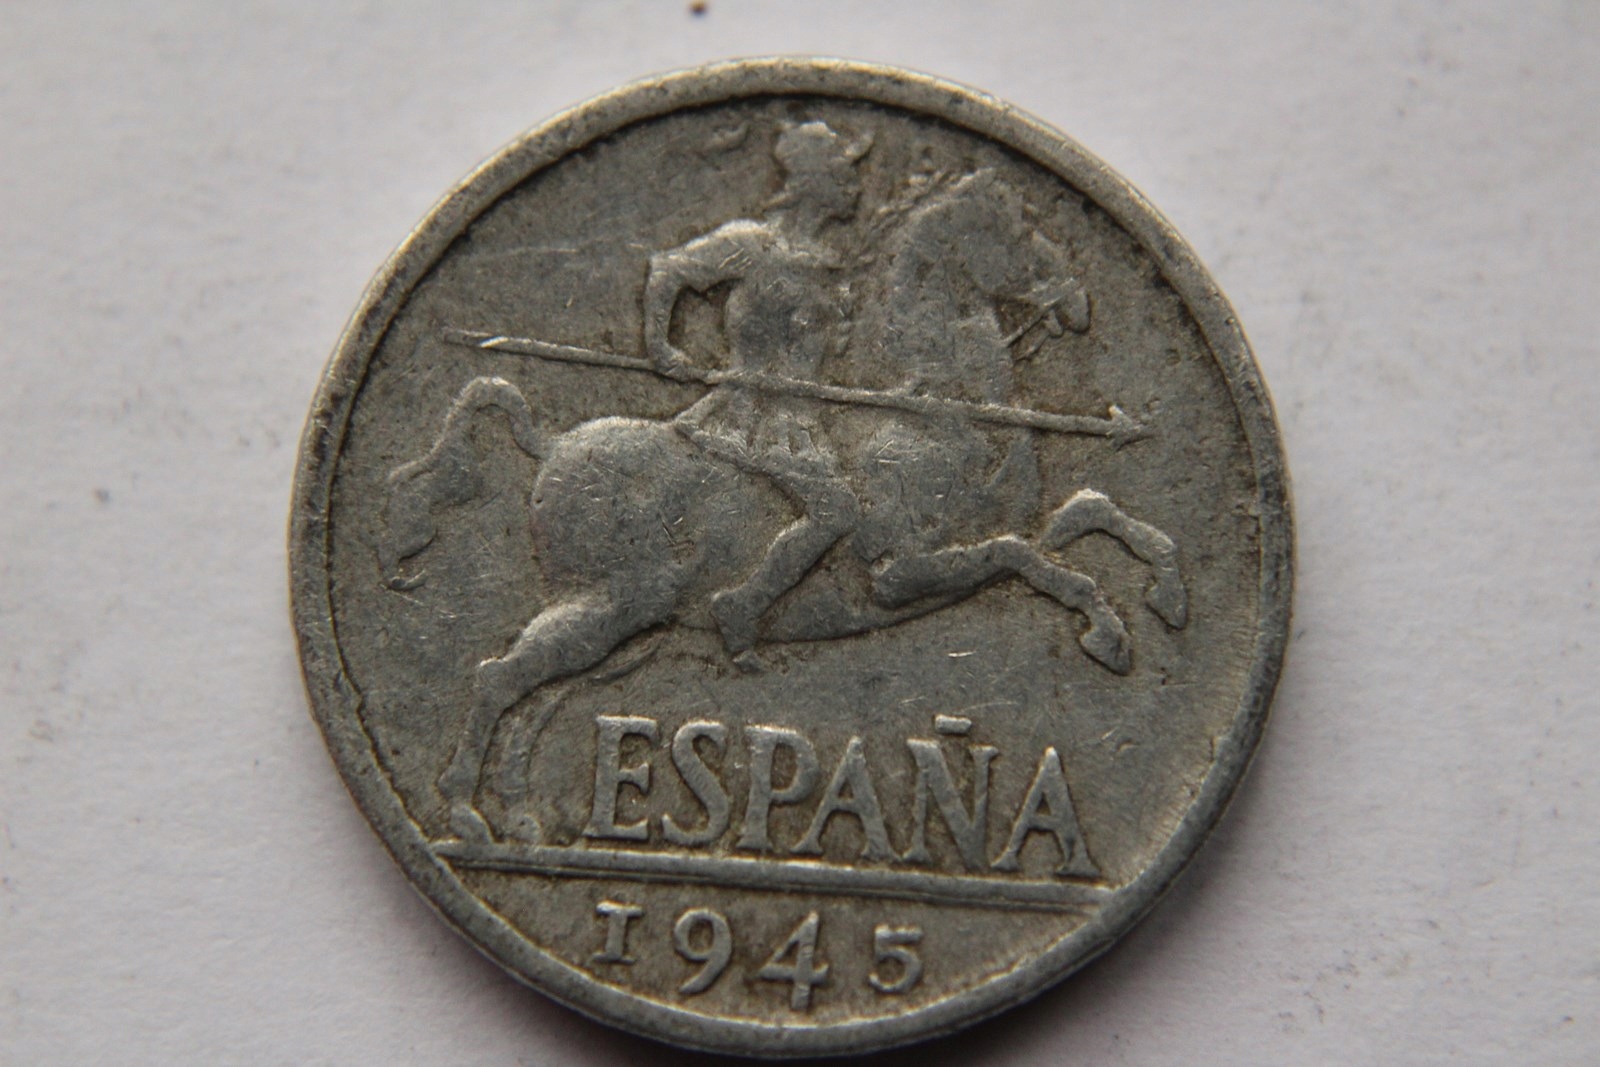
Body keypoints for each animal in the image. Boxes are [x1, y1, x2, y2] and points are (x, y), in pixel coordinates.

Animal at [381, 169, 1186, 841]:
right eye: (1016, 231)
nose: (1079, 302)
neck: (937, 412)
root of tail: (551, 445)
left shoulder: (997, 533)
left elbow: (1087, 512)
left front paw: (1165, 592)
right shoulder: (902, 573)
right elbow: (1031, 554)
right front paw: (1108, 632)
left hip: (624, 639)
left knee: (535, 703)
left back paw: (520, 819)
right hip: (610, 608)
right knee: (497, 679)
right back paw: (466, 813)